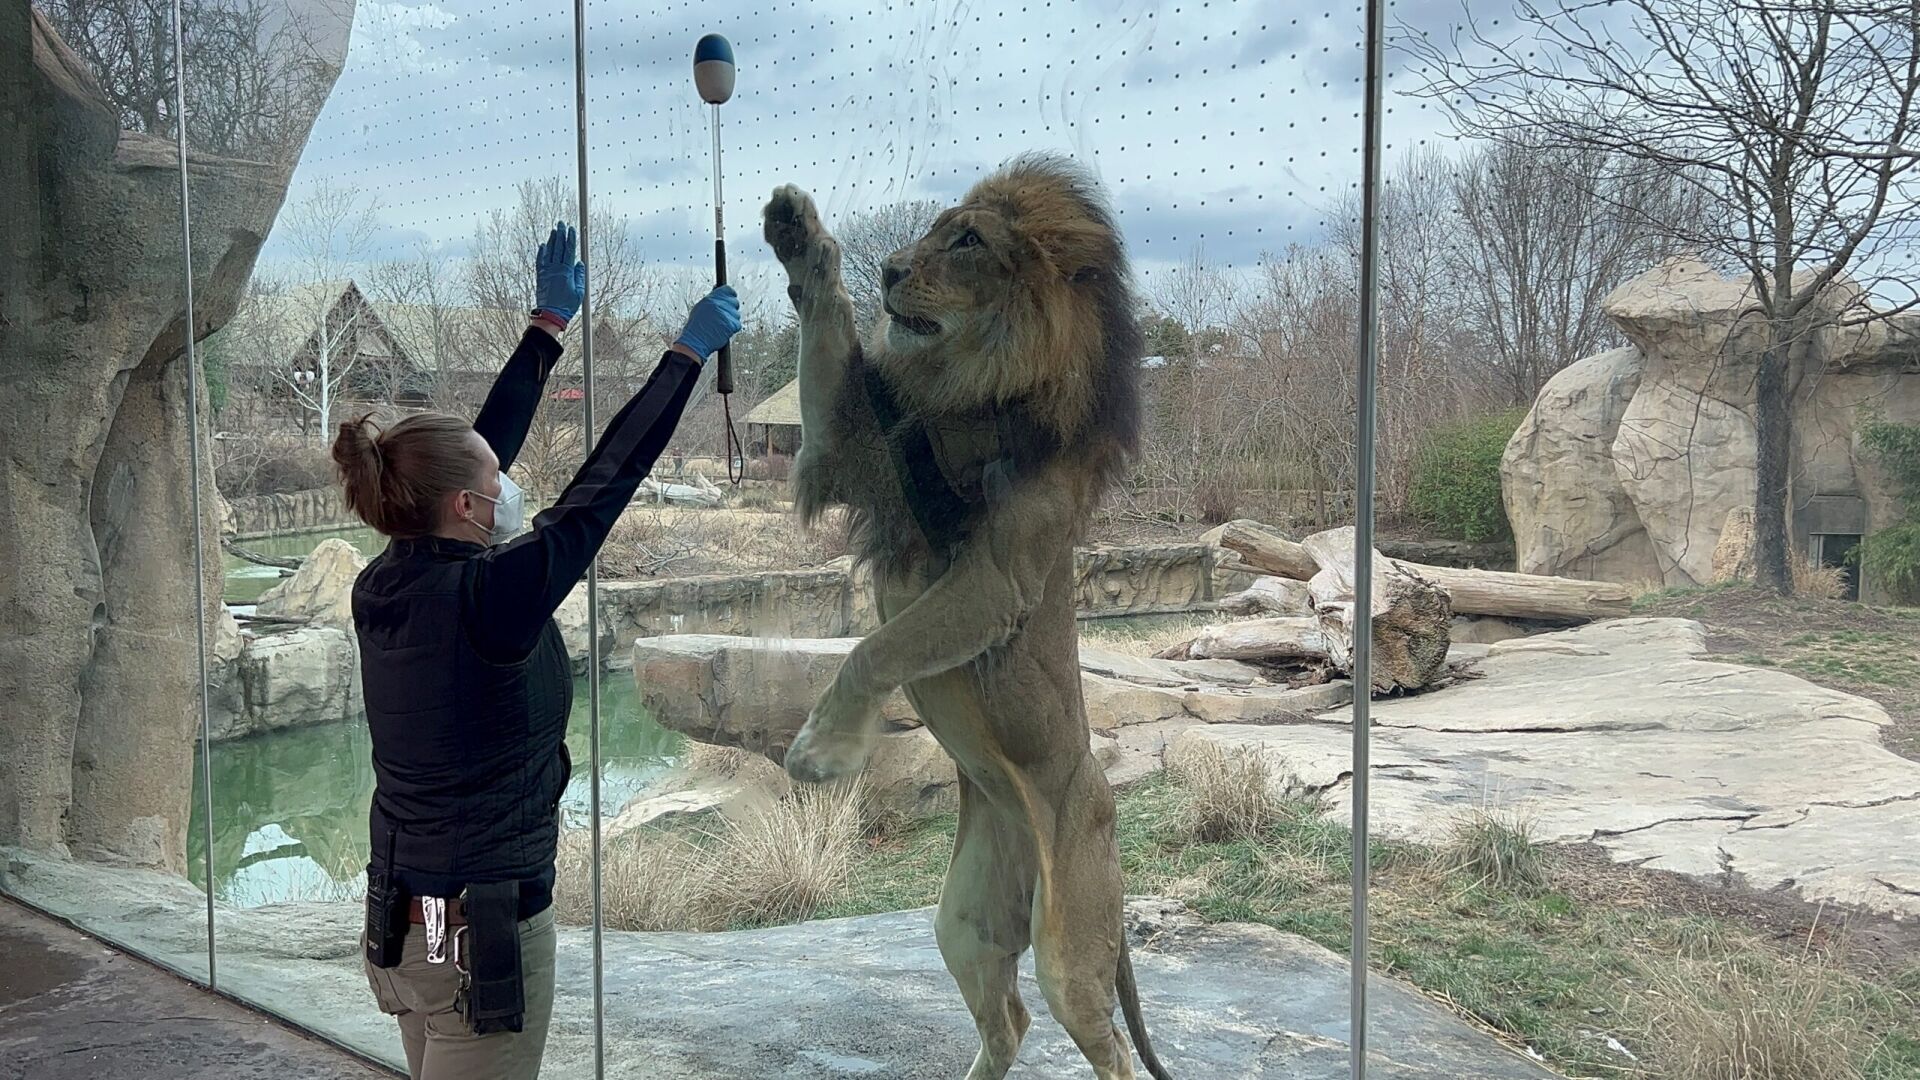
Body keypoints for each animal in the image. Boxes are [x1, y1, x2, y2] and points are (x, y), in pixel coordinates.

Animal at [762, 154, 1172, 1080]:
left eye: (969, 242)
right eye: (929, 231)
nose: (888, 270)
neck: (969, 384)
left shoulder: (994, 579)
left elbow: (875, 650)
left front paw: (822, 750)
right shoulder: (854, 453)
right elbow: (827, 335)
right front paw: (800, 237)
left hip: (1070, 943)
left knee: (1105, 1043)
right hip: (964, 921)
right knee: (1008, 1020)